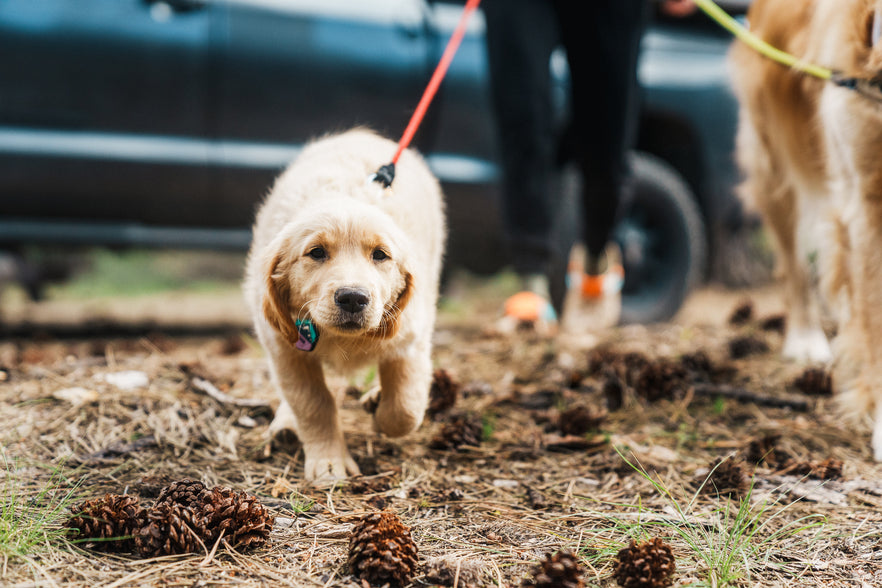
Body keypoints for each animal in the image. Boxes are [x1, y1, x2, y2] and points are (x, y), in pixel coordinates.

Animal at [242, 129, 444, 482]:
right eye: (317, 252)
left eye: (380, 255)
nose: (352, 297)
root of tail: (365, 134)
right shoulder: (284, 350)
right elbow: (313, 403)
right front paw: (328, 462)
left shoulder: (410, 342)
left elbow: (405, 408)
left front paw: (380, 410)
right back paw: (287, 424)